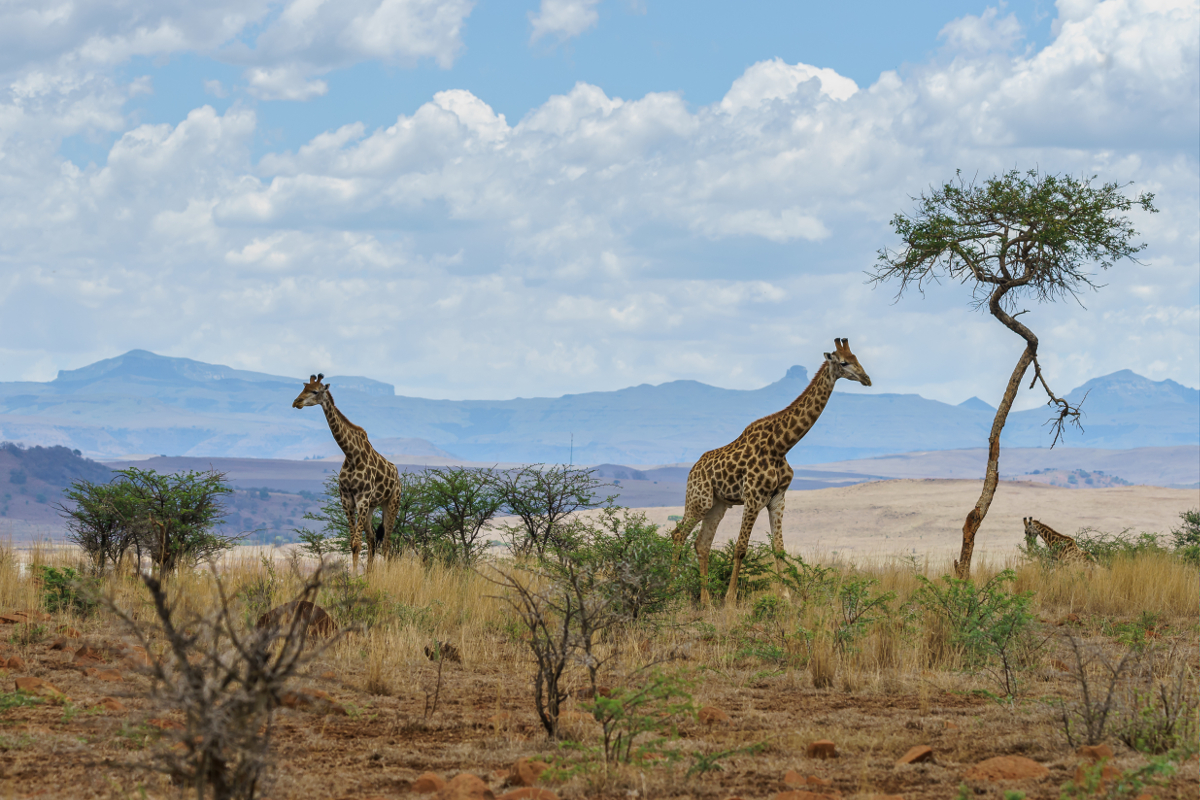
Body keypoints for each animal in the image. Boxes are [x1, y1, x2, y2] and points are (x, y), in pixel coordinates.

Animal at [291, 376, 400, 575]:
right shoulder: (347, 500)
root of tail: (397, 475)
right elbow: (353, 543)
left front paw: (355, 577)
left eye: (315, 391)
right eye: (304, 388)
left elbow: (357, 543)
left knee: (387, 542)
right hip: (372, 507)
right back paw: (369, 574)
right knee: (372, 540)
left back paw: (386, 574)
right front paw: (356, 575)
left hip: (392, 502)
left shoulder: (362, 499)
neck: (351, 455)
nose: (297, 402)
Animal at [667, 338, 873, 606]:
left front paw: (785, 597)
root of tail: (693, 469)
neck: (781, 445)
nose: (867, 378)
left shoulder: (778, 499)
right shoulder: (754, 498)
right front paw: (730, 601)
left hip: (717, 505)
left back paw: (706, 601)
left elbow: (779, 549)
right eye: (844, 362)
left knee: (702, 544)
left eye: (857, 358)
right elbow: (741, 548)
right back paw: (670, 592)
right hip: (698, 500)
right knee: (678, 534)